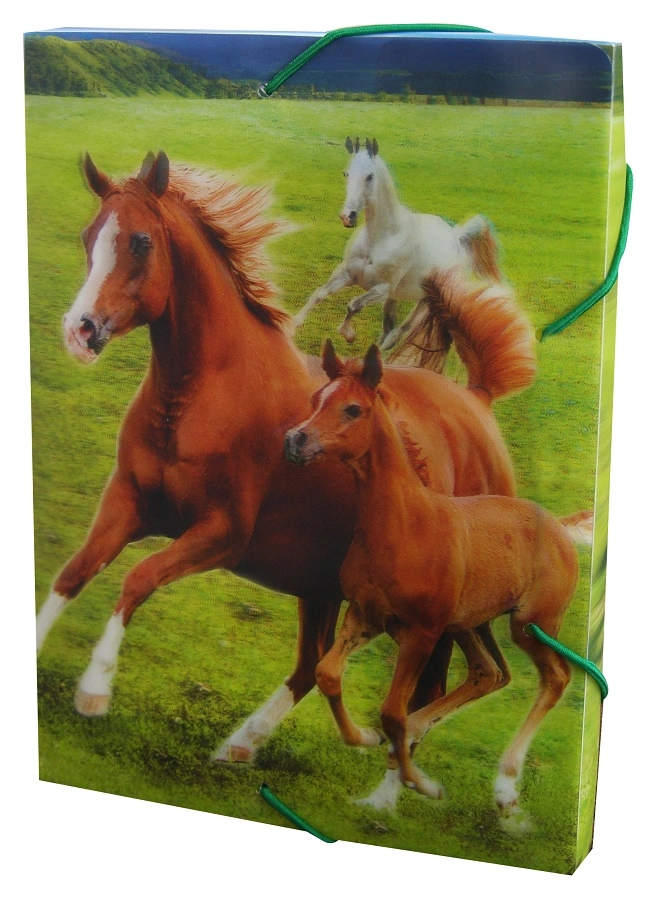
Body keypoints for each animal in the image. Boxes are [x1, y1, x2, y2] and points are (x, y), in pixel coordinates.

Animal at [285, 341, 584, 826]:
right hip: (467, 624)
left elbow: (392, 711)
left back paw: (505, 787)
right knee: (488, 673)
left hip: (529, 626)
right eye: (316, 400)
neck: (405, 525)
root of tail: (560, 527)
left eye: (353, 409)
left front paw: (422, 784)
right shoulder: (365, 615)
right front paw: (366, 738)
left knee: (555, 678)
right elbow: (329, 674)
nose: (295, 440)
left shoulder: (421, 633)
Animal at [293, 137, 502, 356]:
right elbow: (319, 294)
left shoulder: (382, 288)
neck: (381, 239)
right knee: (387, 331)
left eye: (370, 176)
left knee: (397, 334)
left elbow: (354, 305)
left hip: (425, 301)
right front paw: (292, 326)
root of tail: (457, 236)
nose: (347, 217)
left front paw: (348, 335)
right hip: (394, 298)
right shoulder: (346, 274)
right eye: (346, 173)